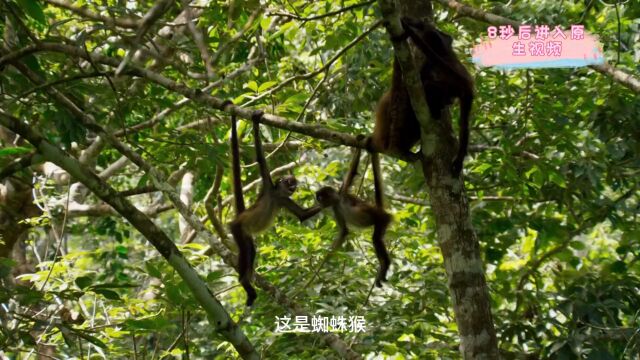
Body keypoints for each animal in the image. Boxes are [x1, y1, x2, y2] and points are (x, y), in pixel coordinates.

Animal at [228, 107, 322, 306]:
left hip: (245, 233)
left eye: (294, 185)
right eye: (289, 182)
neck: (276, 195)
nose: (293, 188)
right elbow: (259, 157)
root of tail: (240, 217)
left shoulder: (284, 200)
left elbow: (302, 215)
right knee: (246, 250)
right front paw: (256, 121)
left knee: (251, 249)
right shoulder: (268, 185)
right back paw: (244, 281)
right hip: (237, 228)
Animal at [314, 148, 390, 286]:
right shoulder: (336, 209)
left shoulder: (343, 192)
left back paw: (385, 265)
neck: (338, 201)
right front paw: (323, 261)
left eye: (320, 197)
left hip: (382, 219)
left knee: (376, 239)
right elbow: (344, 231)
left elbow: (353, 169)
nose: (318, 202)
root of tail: (380, 210)